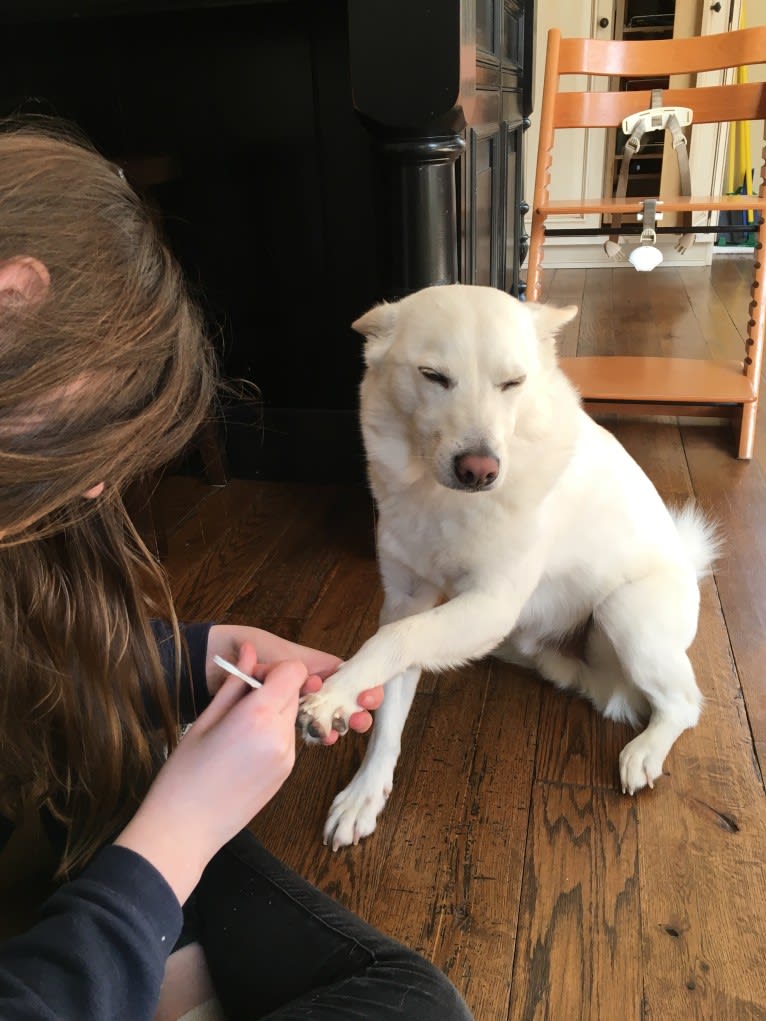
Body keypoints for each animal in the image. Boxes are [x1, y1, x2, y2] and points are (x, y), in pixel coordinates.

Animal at [298, 283, 719, 849]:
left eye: (512, 383)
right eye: (433, 376)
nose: (480, 470)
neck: (444, 502)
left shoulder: (488, 604)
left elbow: (391, 642)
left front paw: (334, 696)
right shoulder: (408, 599)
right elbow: (390, 699)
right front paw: (366, 790)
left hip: (624, 614)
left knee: (682, 704)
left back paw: (646, 751)